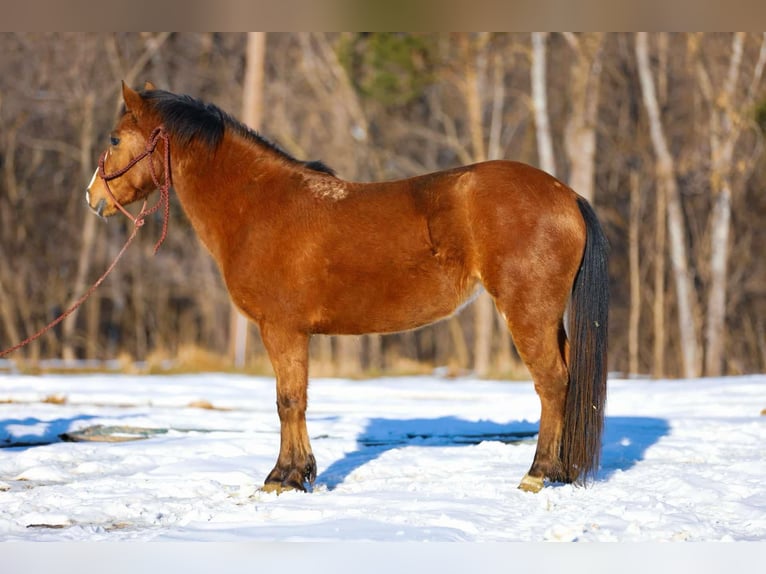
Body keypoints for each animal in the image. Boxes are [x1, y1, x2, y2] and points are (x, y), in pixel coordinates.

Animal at [86, 82, 609, 494]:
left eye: (114, 138)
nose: (93, 199)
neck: (259, 205)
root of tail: (566, 195)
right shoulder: (292, 333)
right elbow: (296, 399)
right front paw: (300, 472)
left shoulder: (282, 330)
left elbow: (288, 401)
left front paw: (283, 477)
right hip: (548, 319)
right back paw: (562, 471)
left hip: (527, 314)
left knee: (552, 383)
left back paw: (538, 473)